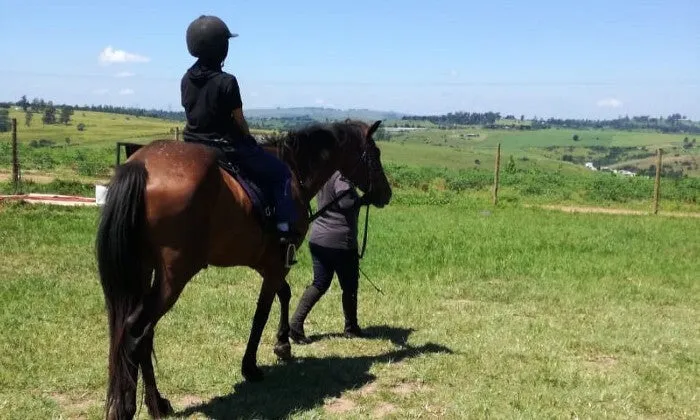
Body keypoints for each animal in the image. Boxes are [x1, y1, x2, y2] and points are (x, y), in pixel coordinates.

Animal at [94, 119, 394, 420]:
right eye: (376, 153)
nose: (386, 193)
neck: (294, 170)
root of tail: (142, 164)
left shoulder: (266, 262)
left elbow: (284, 294)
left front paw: (283, 344)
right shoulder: (276, 264)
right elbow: (262, 313)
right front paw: (252, 365)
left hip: (144, 271)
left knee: (142, 334)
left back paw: (156, 402)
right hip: (173, 277)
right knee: (136, 332)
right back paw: (132, 407)